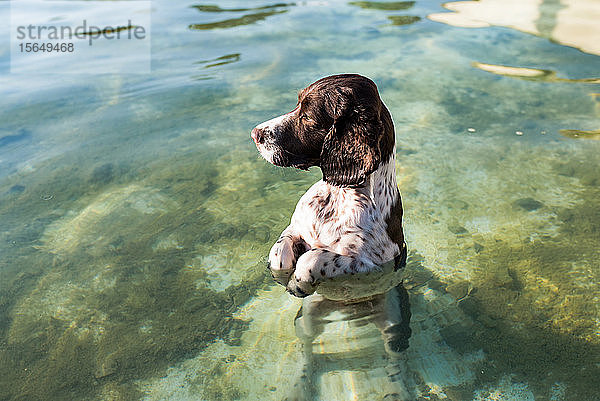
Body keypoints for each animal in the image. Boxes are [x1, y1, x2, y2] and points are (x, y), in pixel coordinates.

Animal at [251, 74, 410, 396]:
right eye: (297, 104)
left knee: (395, 356)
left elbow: (315, 258)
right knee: (309, 352)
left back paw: (397, 390)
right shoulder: (296, 229)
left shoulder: (371, 266)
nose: (254, 134)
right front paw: (283, 275)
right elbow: (281, 249)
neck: (339, 196)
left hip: (394, 318)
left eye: (308, 117)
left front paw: (298, 280)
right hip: (307, 318)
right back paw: (301, 386)